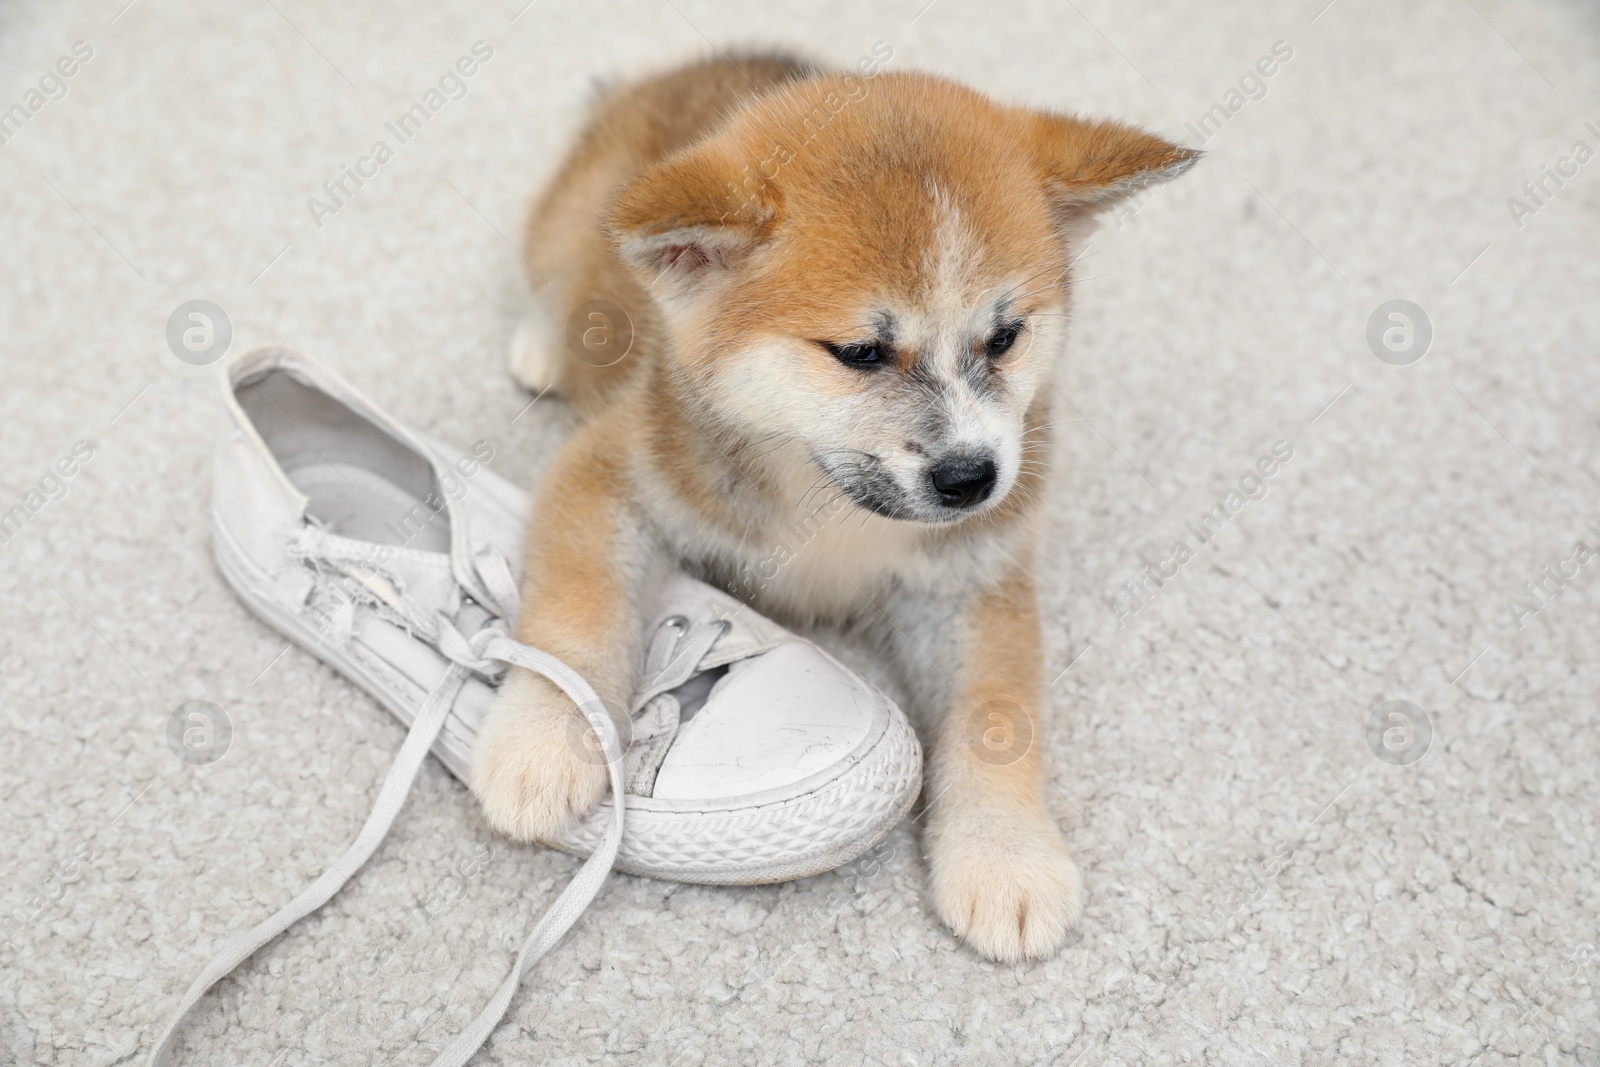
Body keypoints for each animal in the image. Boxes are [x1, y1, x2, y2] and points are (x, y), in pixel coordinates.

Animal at [473, 54, 1203, 966]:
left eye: (1005, 338)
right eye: (860, 352)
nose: (972, 477)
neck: (825, 495)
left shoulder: (972, 574)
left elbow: (997, 713)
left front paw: (1005, 853)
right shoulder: (610, 471)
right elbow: (576, 610)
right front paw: (541, 738)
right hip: (568, 220)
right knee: (556, 275)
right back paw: (542, 344)